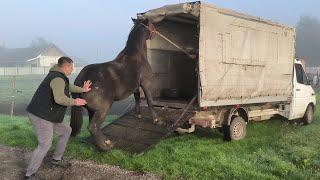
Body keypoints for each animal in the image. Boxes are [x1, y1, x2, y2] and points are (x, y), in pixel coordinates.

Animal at [70, 18, 159, 150]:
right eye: (152, 25)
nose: (156, 32)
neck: (136, 54)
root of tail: (81, 79)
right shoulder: (145, 84)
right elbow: (150, 101)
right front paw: (156, 119)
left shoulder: (136, 87)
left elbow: (137, 98)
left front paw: (138, 115)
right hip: (103, 109)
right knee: (93, 126)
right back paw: (106, 146)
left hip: (92, 110)